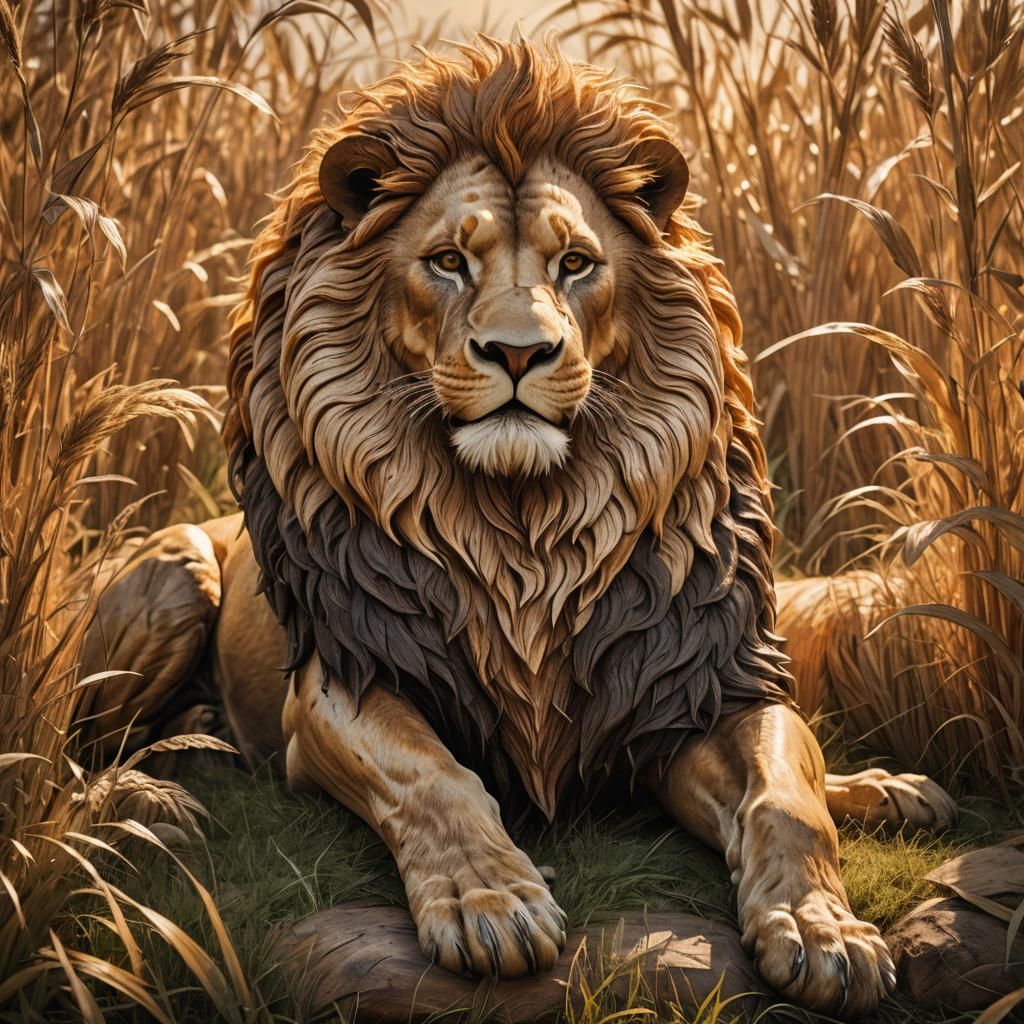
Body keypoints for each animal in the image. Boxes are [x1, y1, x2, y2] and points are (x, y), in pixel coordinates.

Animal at [81, 38, 956, 1018]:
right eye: (447, 262)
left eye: (574, 262)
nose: (517, 351)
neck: (523, 530)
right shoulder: (346, 680)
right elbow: (434, 778)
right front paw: (489, 903)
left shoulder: (686, 681)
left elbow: (784, 795)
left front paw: (821, 927)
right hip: (171, 581)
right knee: (73, 749)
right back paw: (154, 796)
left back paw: (884, 788)